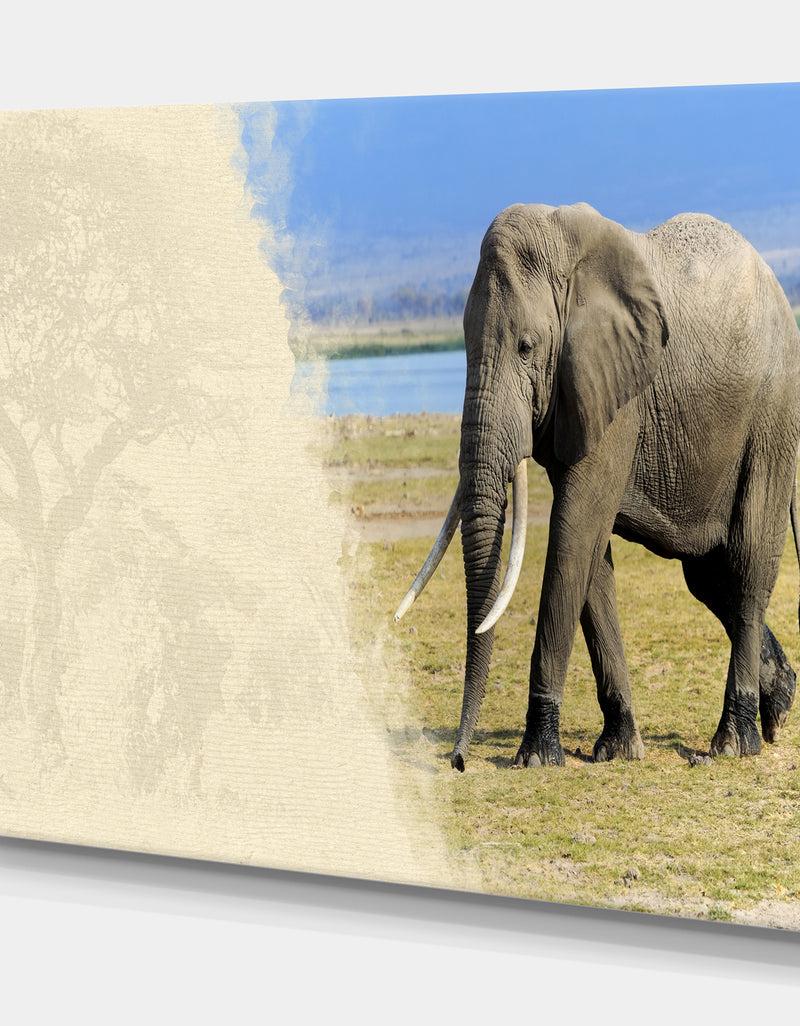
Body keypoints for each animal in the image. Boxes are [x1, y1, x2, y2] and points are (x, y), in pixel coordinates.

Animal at [395, 202, 800, 771]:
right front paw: (618, 750)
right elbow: (590, 555)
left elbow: (574, 531)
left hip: (773, 412)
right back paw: (780, 705)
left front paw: (537, 757)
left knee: (745, 564)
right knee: (707, 577)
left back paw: (733, 743)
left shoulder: (615, 392)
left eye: (526, 347)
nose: (457, 760)